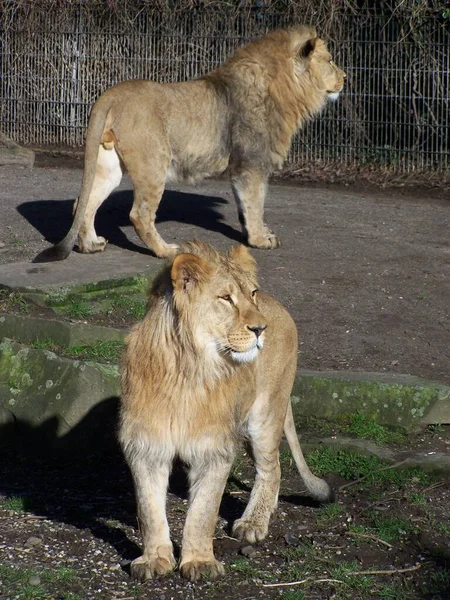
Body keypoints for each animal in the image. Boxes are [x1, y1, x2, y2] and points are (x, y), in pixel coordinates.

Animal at [34, 25, 344, 264]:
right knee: (140, 215)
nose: (345, 77)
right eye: (329, 60)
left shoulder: (243, 167)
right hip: (153, 163)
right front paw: (259, 240)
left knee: (82, 203)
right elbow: (256, 203)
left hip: (108, 164)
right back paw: (166, 251)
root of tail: (109, 95)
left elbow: (246, 206)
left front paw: (259, 234)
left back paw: (91, 245)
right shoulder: (252, 163)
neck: (285, 90)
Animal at [118, 240, 332, 580]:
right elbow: (149, 510)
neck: (189, 371)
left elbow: (203, 511)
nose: (261, 328)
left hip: (264, 416)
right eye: (225, 298)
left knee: (272, 468)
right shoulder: (146, 445)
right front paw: (154, 560)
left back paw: (253, 523)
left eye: (252, 293)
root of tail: (279, 308)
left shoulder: (214, 449)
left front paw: (199, 562)